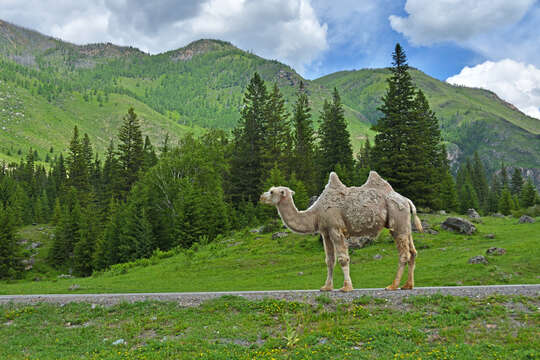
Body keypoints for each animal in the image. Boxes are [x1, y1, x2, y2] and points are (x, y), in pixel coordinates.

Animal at [260, 170, 422, 292]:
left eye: (272, 191)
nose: (261, 197)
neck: (316, 213)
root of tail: (407, 200)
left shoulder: (335, 228)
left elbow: (343, 259)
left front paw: (346, 287)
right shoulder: (325, 232)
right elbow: (329, 260)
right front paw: (326, 287)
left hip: (397, 218)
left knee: (404, 254)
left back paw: (393, 285)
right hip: (405, 224)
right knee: (413, 251)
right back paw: (408, 285)